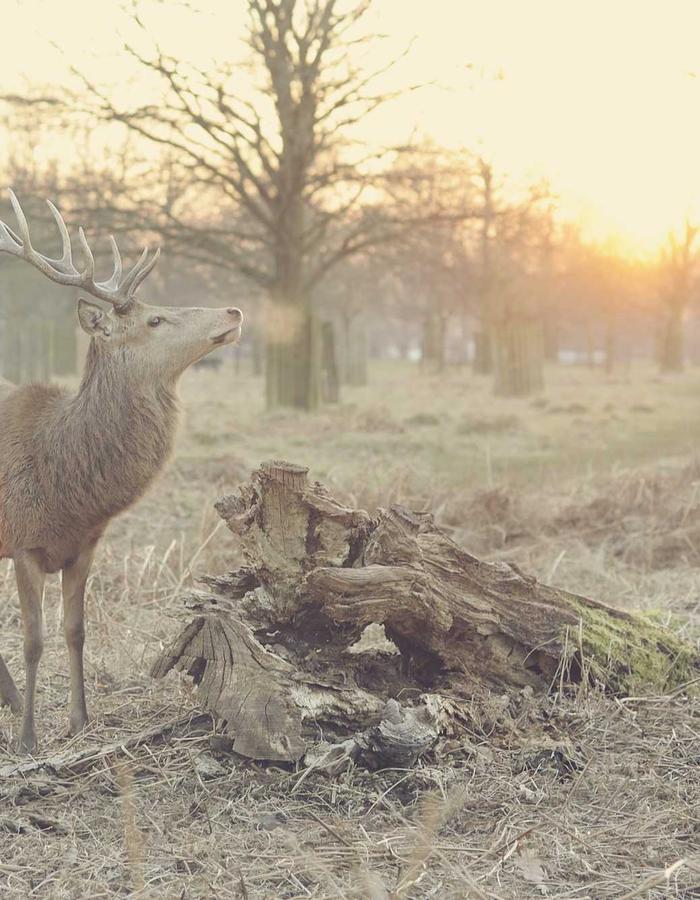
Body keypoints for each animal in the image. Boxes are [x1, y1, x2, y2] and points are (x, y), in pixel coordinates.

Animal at [0, 190, 242, 752]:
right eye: (154, 321)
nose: (234, 308)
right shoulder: (23, 542)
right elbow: (33, 639)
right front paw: (28, 740)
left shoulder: (86, 545)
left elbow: (75, 630)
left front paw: (80, 721)